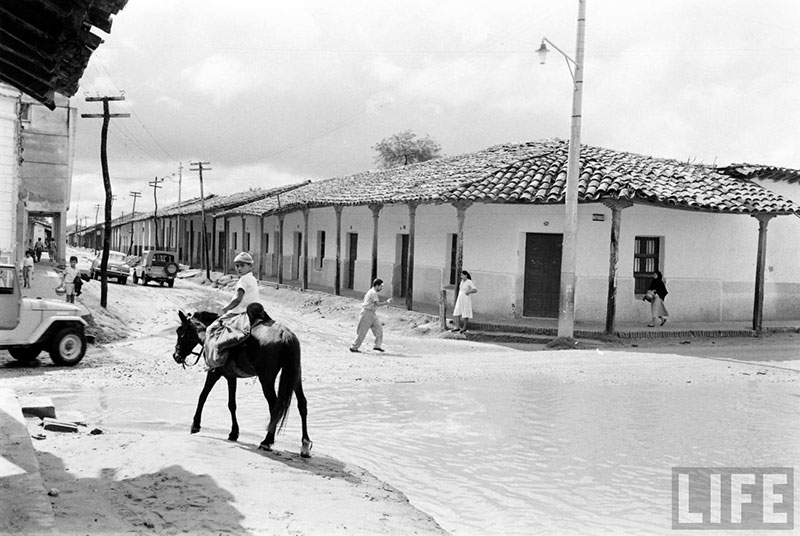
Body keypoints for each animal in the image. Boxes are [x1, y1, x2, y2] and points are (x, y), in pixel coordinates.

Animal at [172, 306, 312, 456]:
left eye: (180, 332)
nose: (176, 356)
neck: (210, 332)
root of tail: (285, 335)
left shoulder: (215, 373)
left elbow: (203, 396)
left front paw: (196, 425)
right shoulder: (231, 377)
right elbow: (232, 404)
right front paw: (234, 433)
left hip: (266, 379)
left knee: (275, 406)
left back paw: (267, 441)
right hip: (295, 375)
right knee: (302, 404)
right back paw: (304, 445)